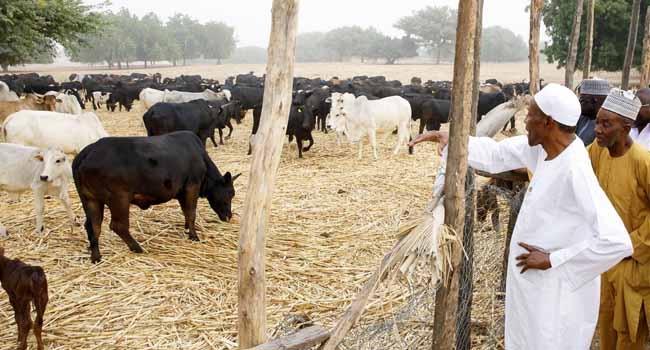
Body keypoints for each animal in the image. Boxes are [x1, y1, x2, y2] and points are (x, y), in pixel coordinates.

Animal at [73, 131, 240, 262]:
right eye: (230, 193)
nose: (229, 216)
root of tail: (89, 150)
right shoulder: (192, 186)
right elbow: (191, 212)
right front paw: (194, 236)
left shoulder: (181, 192)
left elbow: (186, 212)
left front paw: (187, 228)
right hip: (119, 199)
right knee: (118, 226)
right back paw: (138, 248)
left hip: (91, 200)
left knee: (93, 226)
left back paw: (96, 257)